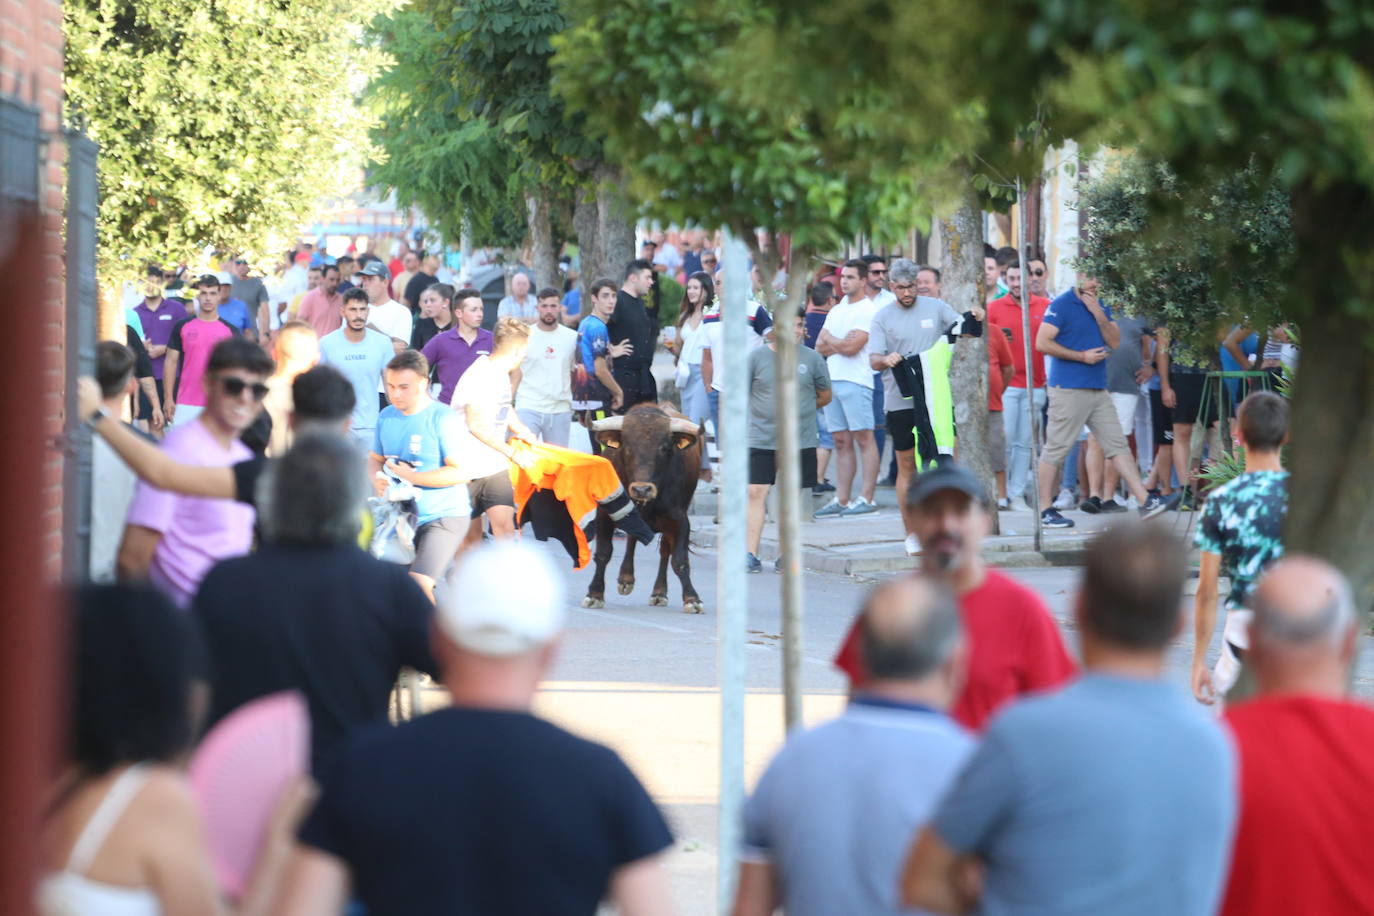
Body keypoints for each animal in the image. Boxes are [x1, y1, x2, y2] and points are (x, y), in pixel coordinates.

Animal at [582, 403, 708, 612]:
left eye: (664, 448)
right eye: (627, 447)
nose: (642, 489)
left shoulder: (680, 521)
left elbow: (679, 560)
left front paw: (692, 598)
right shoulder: (604, 515)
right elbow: (603, 553)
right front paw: (594, 594)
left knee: (664, 551)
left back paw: (659, 592)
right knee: (632, 538)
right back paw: (626, 579)